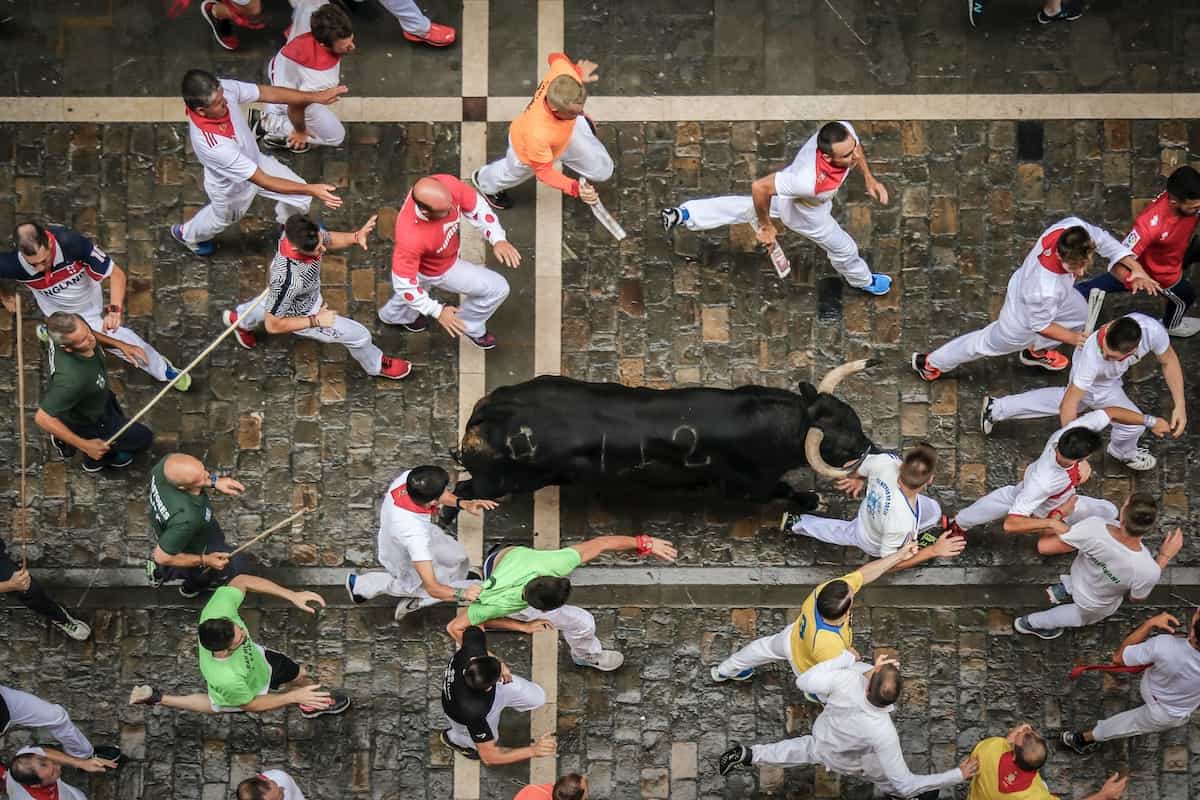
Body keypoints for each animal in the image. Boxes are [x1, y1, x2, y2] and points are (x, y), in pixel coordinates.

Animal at [453, 362, 878, 510]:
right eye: (844, 444)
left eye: (854, 418)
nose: (873, 449)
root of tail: (491, 411)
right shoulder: (746, 488)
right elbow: (784, 491)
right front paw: (812, 500)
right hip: (502, 482)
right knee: (463, 492)